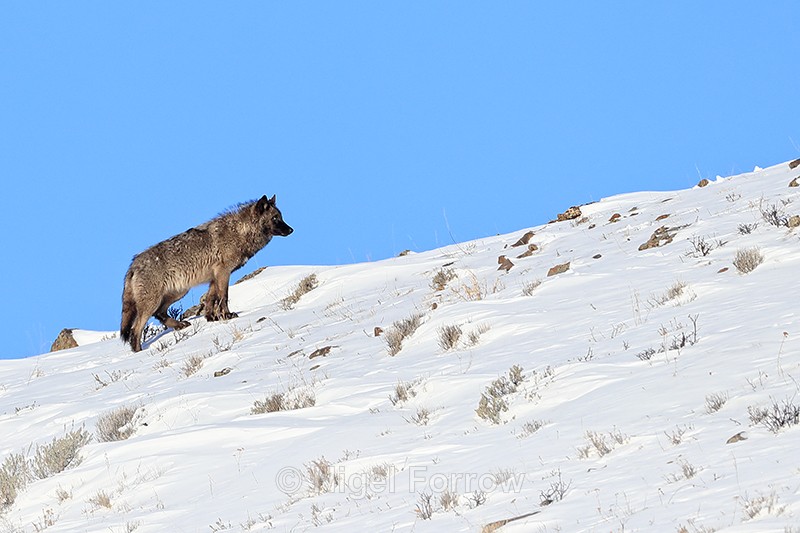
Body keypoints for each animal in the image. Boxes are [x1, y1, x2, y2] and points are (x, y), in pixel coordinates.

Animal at [120, 195, 293, 352]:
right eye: (275, 218)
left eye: (281, 217)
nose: (291, 230)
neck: (240, 231)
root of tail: (133, 265)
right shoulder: (223, 272)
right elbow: (223, 297)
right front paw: (227, 315)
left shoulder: (214, 277)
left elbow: (211, 299)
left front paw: (212, 318)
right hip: (155, 301)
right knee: (136, 329)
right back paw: (139, 351)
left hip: (178, 293)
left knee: (159, 314)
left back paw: (180, 325)